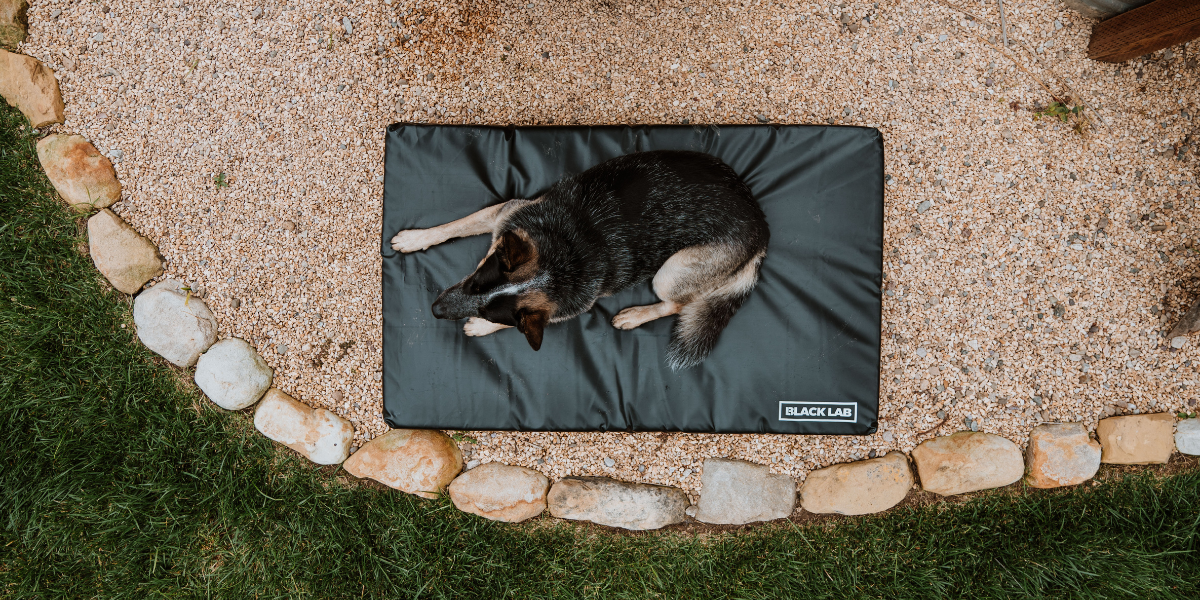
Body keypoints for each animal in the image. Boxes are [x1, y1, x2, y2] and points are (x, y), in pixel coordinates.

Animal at [391, 150, 768, 367]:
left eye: (488, 311)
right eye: (473, 281)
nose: (435, 310)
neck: (561, 257)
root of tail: (761, 226)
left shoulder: (565, 309)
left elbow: (520, 325)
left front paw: (482, 327)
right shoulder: (505, 215)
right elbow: (453, 226)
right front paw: (416, 238)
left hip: (669, 273)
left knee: (678, 304)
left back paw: (635, 315)